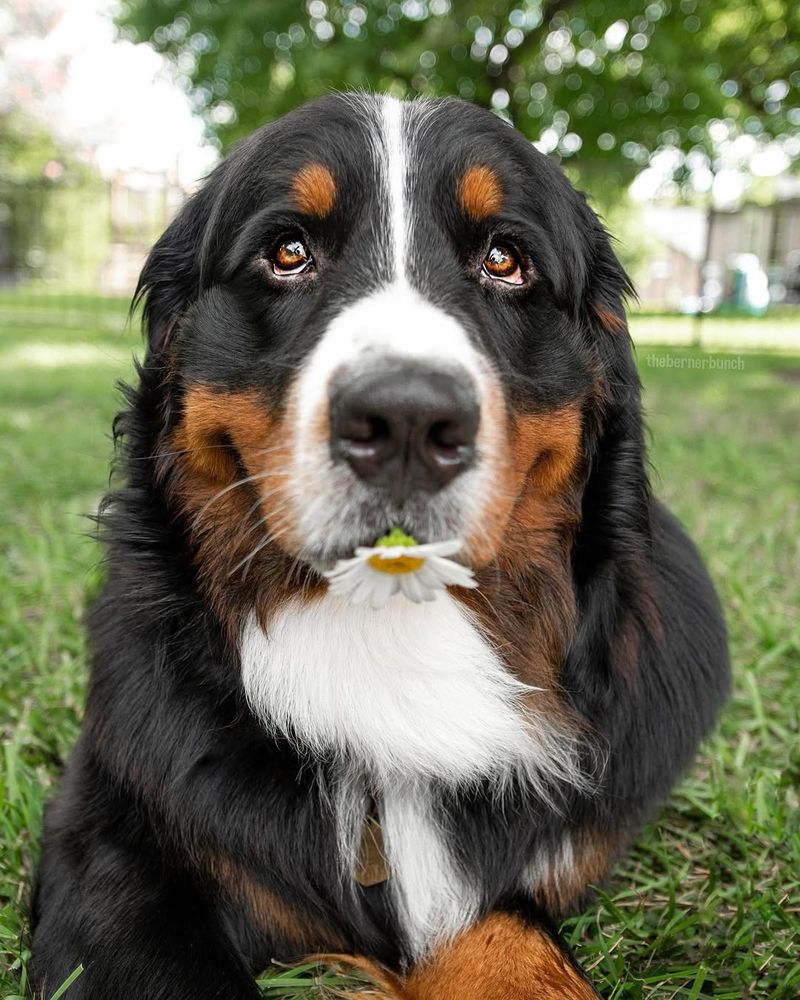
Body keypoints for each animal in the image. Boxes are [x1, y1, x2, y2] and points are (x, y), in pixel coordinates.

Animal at [31, 94, 732, 1000]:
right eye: (288, 250)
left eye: (505, 259)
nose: (406, 418)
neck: (390, 642)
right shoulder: (112, 841)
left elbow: (515, 946)